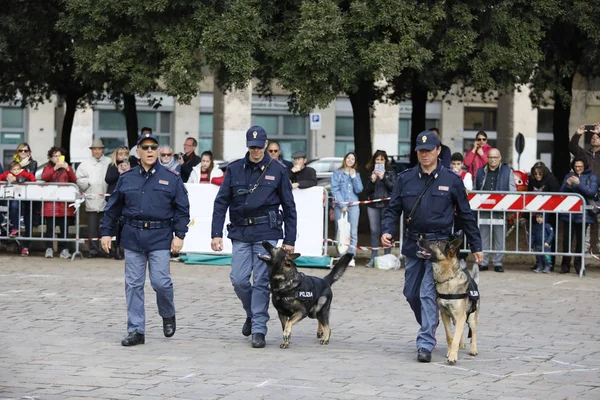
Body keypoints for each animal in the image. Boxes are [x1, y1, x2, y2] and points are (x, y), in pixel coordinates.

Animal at [418, 230, 478, 364]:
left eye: (436, 243)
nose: (419, 238)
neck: (447, 280)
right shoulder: (445, 314)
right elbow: (450, 337)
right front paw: (450, 352)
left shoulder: (461, 316)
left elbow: (455, 338)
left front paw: (453, 356)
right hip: (457, 319)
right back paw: (462, 344)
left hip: (471, 317)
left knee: (473, 332)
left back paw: (473, 349)